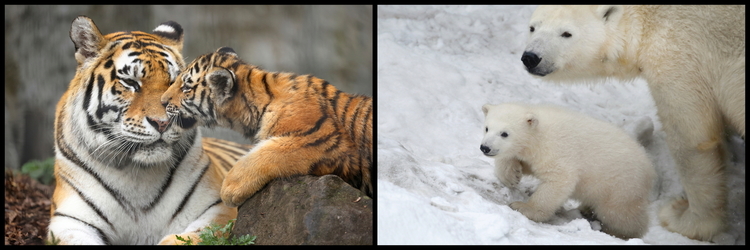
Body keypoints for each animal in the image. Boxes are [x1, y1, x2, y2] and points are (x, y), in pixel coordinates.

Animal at [47, 16, 253, 245]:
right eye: (130, 82)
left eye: (174, 82)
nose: (163, 123)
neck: (137, 174)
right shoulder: (70, 221)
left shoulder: (217, 207)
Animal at [524, 5, 748, 240]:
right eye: (533, 27)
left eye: (566, 33)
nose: (531, 57)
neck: (651, 18)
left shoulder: (679, 54)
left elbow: (691, 141)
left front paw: (684, 218)